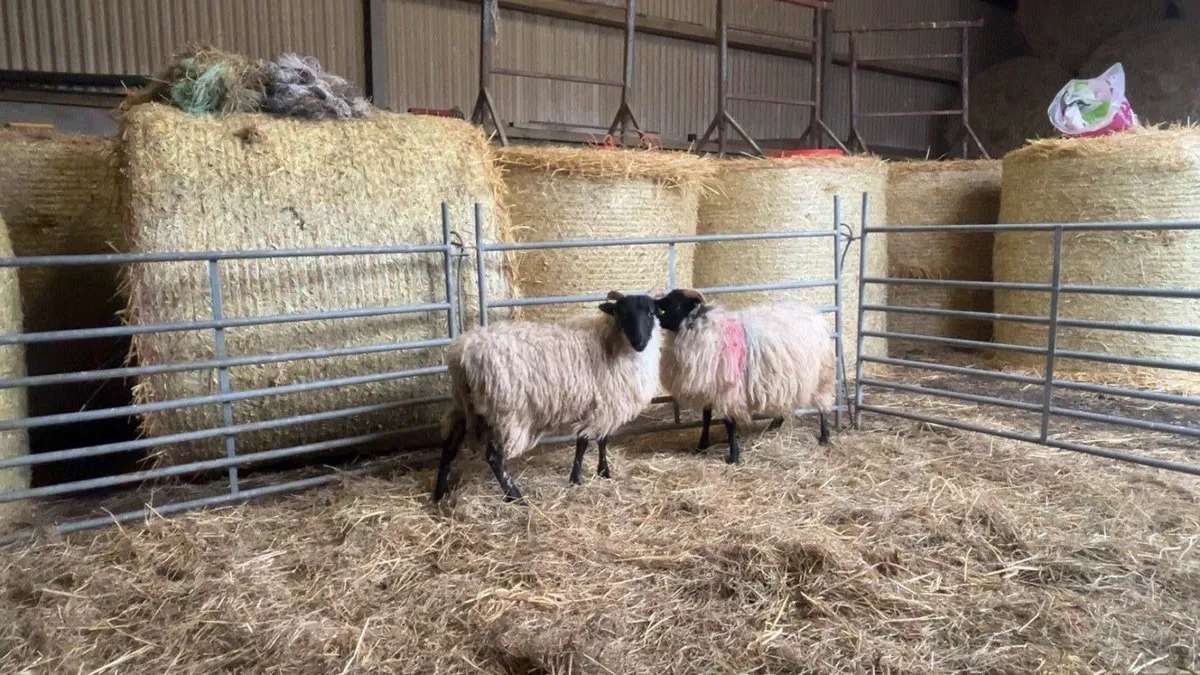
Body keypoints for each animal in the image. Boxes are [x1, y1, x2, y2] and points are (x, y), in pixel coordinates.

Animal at [433, 291, 662, 504]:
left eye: (650, 313)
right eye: (621, 313)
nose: (639, 342)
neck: (610, 341)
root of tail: (462, 355)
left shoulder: (596, 403)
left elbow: (596, 440)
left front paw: (597, 474)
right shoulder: (604, 403)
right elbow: (589, 441)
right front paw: (583, 477)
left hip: (465, 404)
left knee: (450, 445)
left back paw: (439, 494)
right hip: (507, 413)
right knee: (494, 457)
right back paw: (515, 496)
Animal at [654, 288, 836, 464]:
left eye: (677, 304)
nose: (655, 304)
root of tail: (814, 315)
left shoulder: (729, 392)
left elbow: (729, 423)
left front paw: (734, 456)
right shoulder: (709, 388)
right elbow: (706, 418)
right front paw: (701, 446)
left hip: (822, 375)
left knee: (822, 406)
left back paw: (824, 436)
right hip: (789, 378)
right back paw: (775, 424)